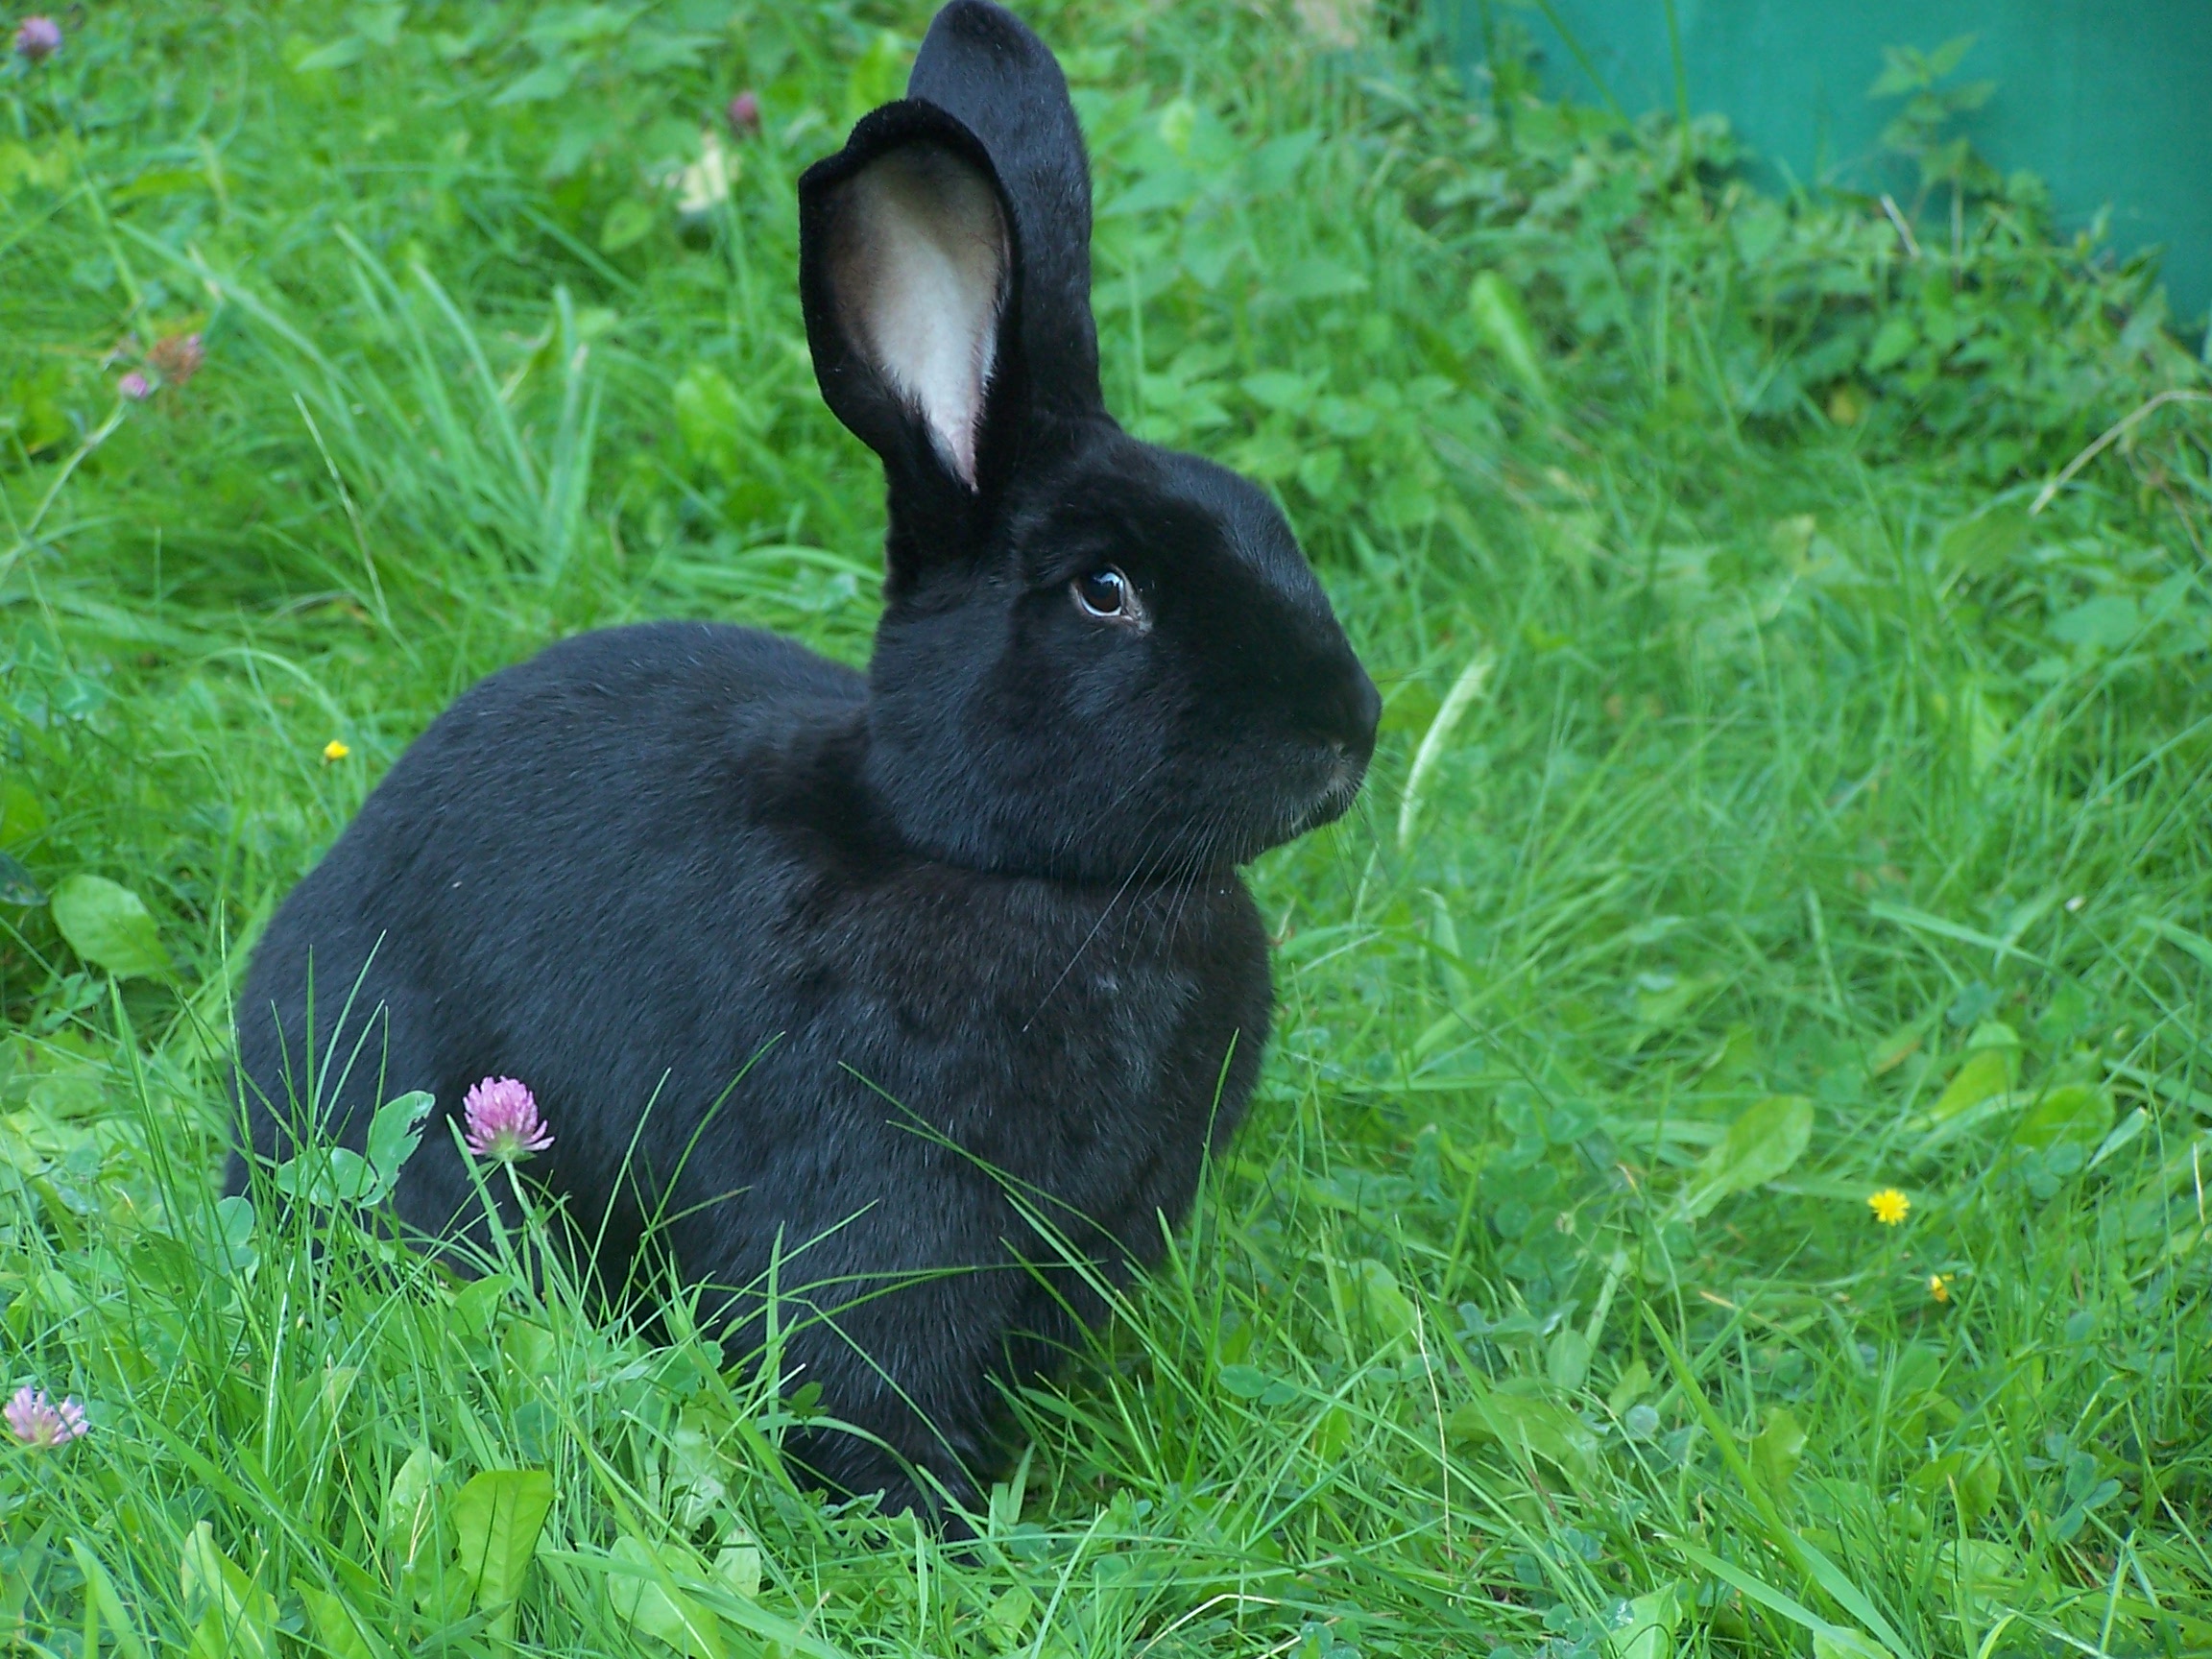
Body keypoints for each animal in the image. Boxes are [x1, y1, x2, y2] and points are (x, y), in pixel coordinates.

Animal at [233, 0, 1371, 1530]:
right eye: (1107, 593)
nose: (1349, 733)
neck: (1004, 868)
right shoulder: (877, 1225)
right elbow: (865, 1382)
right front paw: (944, 1532)